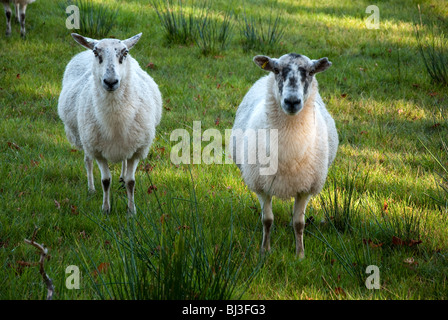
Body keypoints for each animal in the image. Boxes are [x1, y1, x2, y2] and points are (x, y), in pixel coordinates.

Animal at [57, 32, 163, 214]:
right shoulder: (97, 149)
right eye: (96, 52)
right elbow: (105, 181)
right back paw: (91, 189)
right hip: (84, 138)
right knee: (87, 161)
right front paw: (106, 209)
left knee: (123, 162)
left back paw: (121, 177)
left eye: (125, 53)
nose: (111, 81)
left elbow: (131, 182)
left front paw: (131, 211)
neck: (115, 120)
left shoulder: (137, 149)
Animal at [229, 52, 338, 258]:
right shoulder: (262, 185)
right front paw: (265, 250)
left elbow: (299, 223)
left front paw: (300, 255)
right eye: (277, 70)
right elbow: (267, 220)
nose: (292, 101)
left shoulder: (305, 187)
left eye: (311, 72)